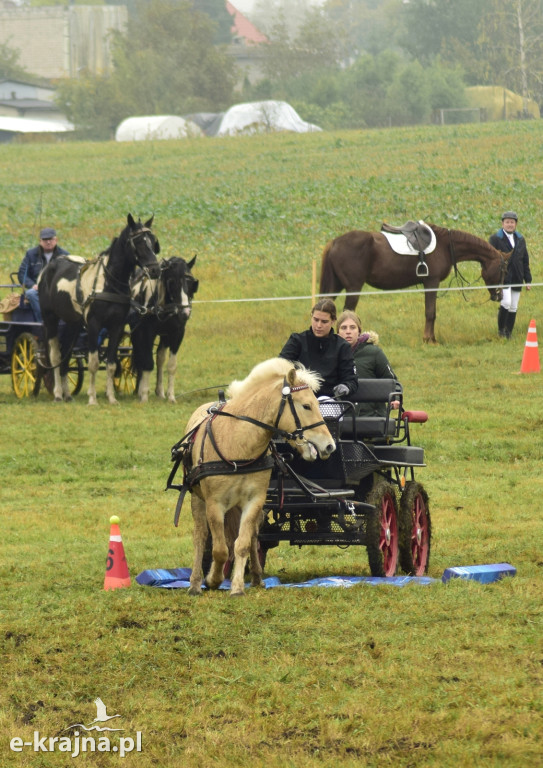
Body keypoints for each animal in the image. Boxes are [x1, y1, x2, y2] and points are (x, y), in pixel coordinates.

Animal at [39, 213, 160, 404]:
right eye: (139, 241)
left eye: (154, 241)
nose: (155, 270)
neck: (109, 283)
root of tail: (49, 267)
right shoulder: (94, 325)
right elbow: (94, 363)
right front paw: (92, 398)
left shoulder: (116, 327)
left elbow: (111, 364)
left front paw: (111, 398)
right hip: (50, 318)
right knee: (56, 356)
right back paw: (58, 394)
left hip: (73, 323)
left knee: (66, 355)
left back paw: (67, 395)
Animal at [130, 256, 198, 402]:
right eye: (172, 282)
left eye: (191, 282)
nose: (185, 313)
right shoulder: (147, 332)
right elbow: (147, 362)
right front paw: (144, 395)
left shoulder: (177, 333)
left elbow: (171, 365)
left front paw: (171, 396)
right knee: (141, 356)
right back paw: (140, 390)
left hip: (164, 336)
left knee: (160, 358)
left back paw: (159, 392)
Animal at [173, 356, 336, 596]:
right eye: (307, 406)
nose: (330, 446)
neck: (239, 446)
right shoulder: (214, 504)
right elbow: (220, 548)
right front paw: (213, 579)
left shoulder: (255, 500)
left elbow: (241, 543)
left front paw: (237, 587)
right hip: (197, 499)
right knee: (201, 536)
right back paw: (195, 583)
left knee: (250, 537)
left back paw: (257, 577)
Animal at [318, 224, 510, 340]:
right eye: (503, 269)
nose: (499, 296)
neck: (445, 246)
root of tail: (334, 242)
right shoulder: (431, 283)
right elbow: (430, 312)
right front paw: (428, 339)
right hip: (353, 288)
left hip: (336, 286)